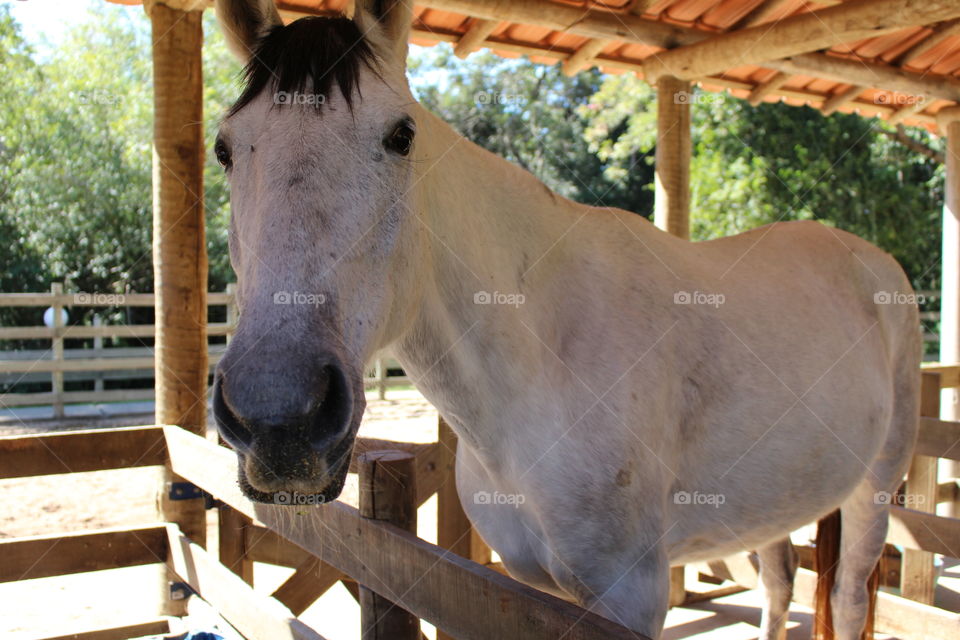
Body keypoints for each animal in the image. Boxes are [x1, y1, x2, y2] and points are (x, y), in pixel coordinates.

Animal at [210, 1, 921, 638]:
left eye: (400, 135)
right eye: (223, 149)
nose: (280, 419)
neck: (539, 359)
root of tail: (872, 261)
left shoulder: (630, 596)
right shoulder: (531, 593)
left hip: (875, 489)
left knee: (850, 597)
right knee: (778, 580)